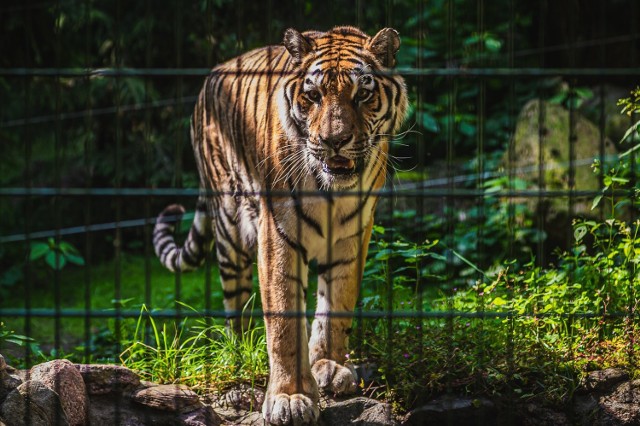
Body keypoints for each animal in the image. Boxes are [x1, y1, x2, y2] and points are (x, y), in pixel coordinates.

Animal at [152, 25, 408, 424]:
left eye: (363, 94)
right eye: (313, 95)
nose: (335, 141)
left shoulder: (353, 234)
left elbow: (337, 302)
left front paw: (330, 366)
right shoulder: (278, 235)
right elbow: (284, 324)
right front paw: (289, 397)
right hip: (229, 230)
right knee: (236, 313)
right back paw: (240, 354)